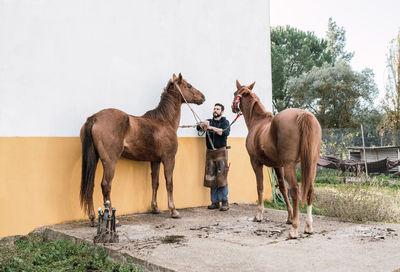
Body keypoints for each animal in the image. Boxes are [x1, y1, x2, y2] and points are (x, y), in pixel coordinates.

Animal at [81, 73, 206, 226]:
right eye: (189, 86)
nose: (203, 97)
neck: (164, 121)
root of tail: (95, 118)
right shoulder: (169, 159)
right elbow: (169, 183)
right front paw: (174, 211)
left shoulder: (155, 161)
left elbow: (155, 183)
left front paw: (155, 208)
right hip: (110, 162)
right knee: (106, 185)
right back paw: (112, 218)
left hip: (94, 158)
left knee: (91, 185)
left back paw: (93, 218)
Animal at [231, 81, 322, 238]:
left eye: (234, 93)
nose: (232, 107)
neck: (258, 122)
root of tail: (303, 114)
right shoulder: (278, 166)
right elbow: (282, 189)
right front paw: (289, 217)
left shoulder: (255, 162)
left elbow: (260, 187)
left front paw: (259, 215)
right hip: (311, 165)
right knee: (309, 190)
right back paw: (308, 226)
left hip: (290, 165)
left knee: (295, 189)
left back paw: (294, 229)